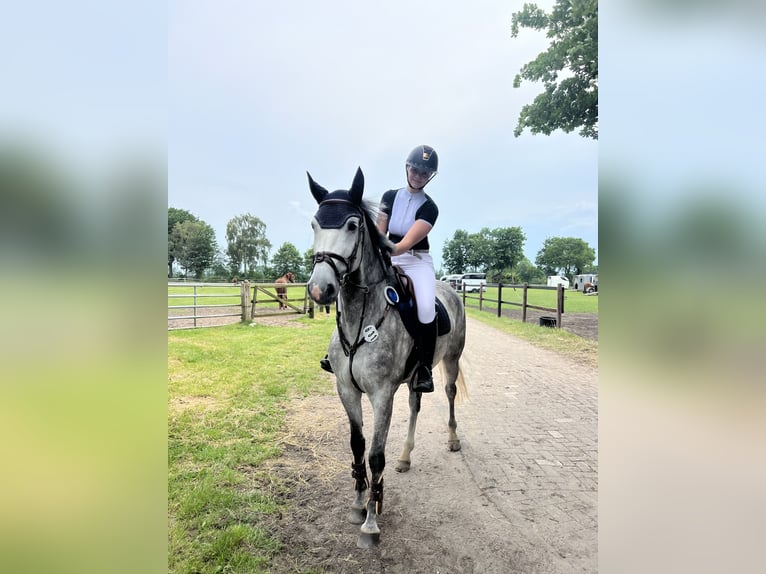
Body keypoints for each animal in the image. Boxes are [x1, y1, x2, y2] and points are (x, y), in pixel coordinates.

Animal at [306, 167, 467, 547]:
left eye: (352, 225)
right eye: (314, 224)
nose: (320, 289)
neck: (359, 318)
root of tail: (451, 289)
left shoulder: (381, 395)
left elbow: (376, 454)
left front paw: (371, 521)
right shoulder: (347, 390)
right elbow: (357, 446)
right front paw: (358, 503)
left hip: (452, 360)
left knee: (450, 394)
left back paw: (453, 439)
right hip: (414, 378)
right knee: (415, 405)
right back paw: (405, 457)